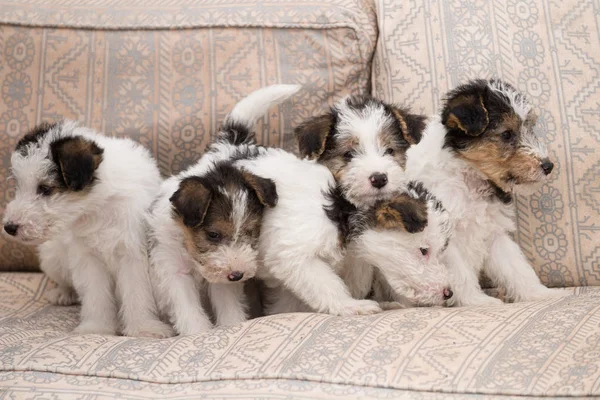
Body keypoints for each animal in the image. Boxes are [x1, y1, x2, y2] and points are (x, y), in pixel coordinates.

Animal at [2, 120, 171, 336]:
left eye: (45, 189)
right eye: (19, 187)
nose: (9, 227)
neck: (97, 207)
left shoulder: (132, 254)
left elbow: (137, 293)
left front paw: (143, 328)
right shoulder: (88, 258)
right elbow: (96, 295)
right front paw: (96, 328)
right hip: (52, 258)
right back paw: (63, 293)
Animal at [146, 84, 296, 334]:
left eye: (249, 232)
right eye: (213, 234)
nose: (237, 274)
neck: (192, 254)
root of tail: (231, 143)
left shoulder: (222, 282)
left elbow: (228, 306)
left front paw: (231, 325)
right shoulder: (174, 271)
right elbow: (188, 311)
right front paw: (197, 333)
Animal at [408, 78, 564, 304]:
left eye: (529, 128)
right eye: (506, 134)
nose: (548, 165)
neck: (471, 180)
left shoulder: (495, 233)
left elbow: (517, 268)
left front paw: (541, 293)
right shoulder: (446, 238)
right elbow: (460, 274)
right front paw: (477, 301)